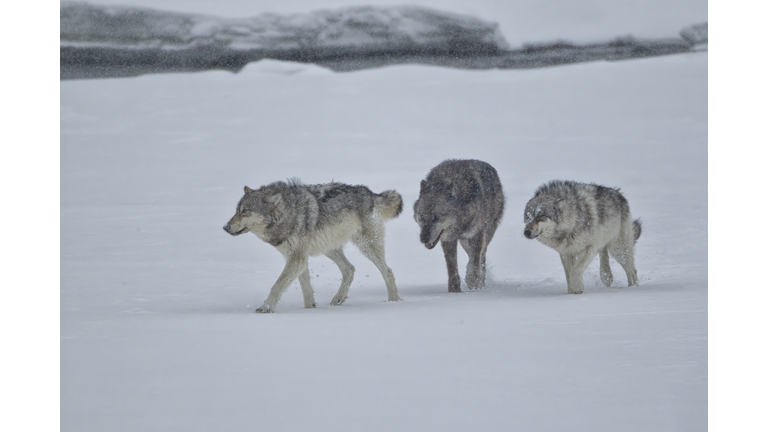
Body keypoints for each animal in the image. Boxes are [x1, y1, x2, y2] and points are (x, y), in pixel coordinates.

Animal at [222, 180, 402, 314]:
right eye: (236, 210)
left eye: (245, 211)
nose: (225, 227)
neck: (286, 215)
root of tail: (369, 193)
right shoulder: (298, 257)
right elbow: (306, 287)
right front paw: (310, 310)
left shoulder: (297, 258)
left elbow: (277, 285)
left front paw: (266, 308)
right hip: (329, 248)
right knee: (350, 268)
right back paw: (338, 298)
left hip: (366, 246)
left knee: (388, 271)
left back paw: (393, 301)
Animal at [414, 159, 504, 294]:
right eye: (422, 216)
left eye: (437, 217)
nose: (423, 239)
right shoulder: (448, 239)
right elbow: (452, 267)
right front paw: (454, 291)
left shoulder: (476, 234)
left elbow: (475, 260)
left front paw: (473, 282)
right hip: (464, 242)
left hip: (486, 233)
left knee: (481, 257)